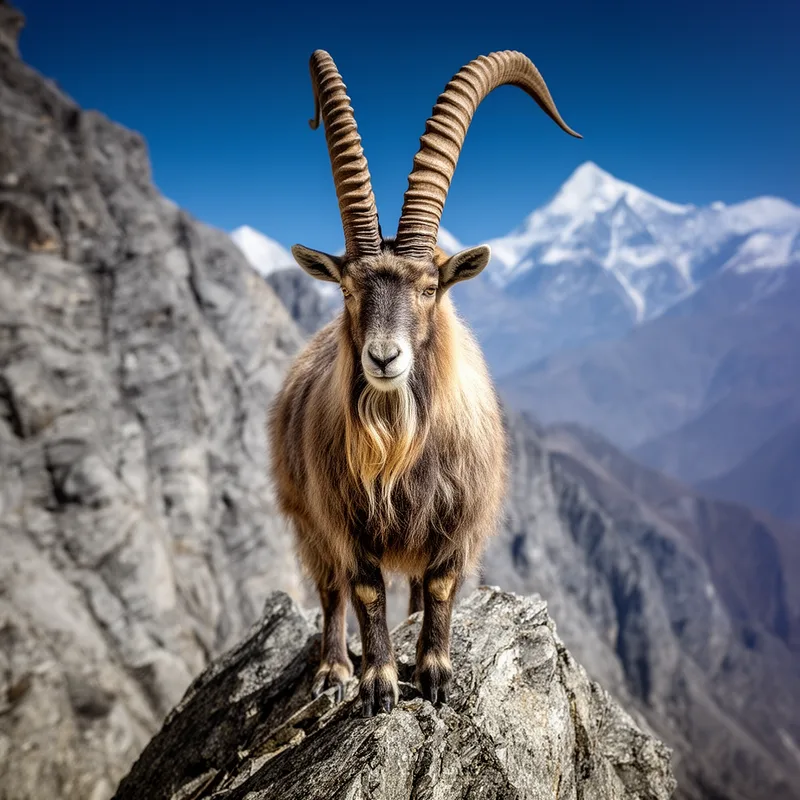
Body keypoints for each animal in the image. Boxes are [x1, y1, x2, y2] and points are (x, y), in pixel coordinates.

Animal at [269, 50, 580, 716]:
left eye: (430, 287)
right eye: (348, 288)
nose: (384, 359)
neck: (397, 445)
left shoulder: (459, 519)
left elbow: (438, 585)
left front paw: (435, 674)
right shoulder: (345, 521)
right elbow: (363, 590)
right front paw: (380, 683)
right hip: (306, 518)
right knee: (329, 590)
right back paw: (334, 670)